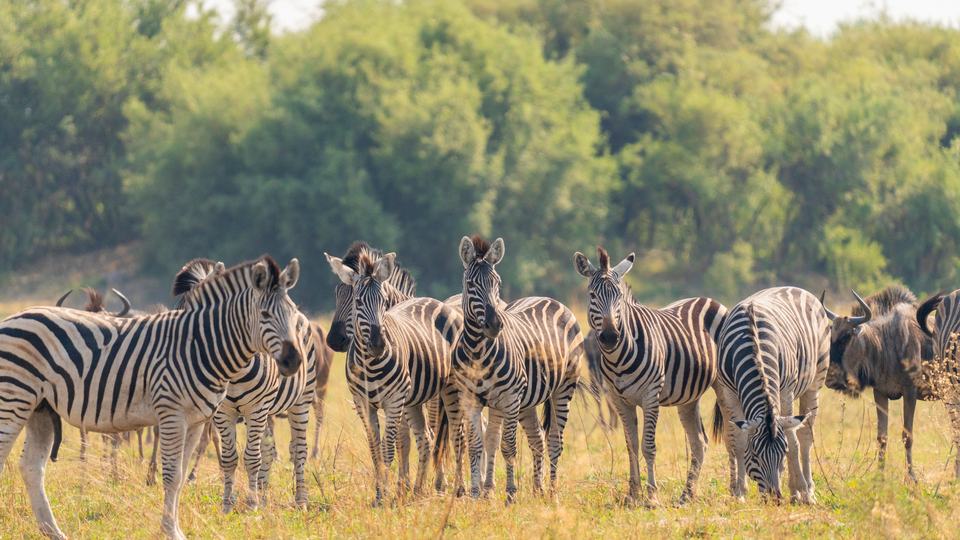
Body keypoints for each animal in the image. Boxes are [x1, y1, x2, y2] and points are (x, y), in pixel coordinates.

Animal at [0, 255, 304, 540]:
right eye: (264, 314)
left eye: (294, 314)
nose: (293, 361)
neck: (200, 346)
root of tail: (14, 316)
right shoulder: (172, 414)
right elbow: (171, 476)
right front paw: (170, 531)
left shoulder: (195, 421)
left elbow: (181, 475)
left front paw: (175, 529)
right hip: (14, 399)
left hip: (39, 408)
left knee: (32, 467)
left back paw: (53, 531)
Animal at [326, 250, 465, 504]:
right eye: (340, 296)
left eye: (382, 301)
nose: (378, 344)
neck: (369, 362)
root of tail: (438, 302)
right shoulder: (363, 403)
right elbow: (377, 449)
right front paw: (385, 492)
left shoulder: (394, 401)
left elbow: (391, 447)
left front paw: (387, 495)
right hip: (414, 400)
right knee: (426, 437)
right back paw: (419, 490)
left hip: (450, 389)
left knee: (456, 436)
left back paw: (459, 489)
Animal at [455, 235, 582, 503]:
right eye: (471, 284)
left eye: (498, 283)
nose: (495, 324)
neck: (477, 350)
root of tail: (550, 299)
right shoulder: (470, 398)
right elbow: (477, 445)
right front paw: (476, 495)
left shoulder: (510, 397)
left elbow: (508, 446)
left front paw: (511, 494)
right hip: (526, 401)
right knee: (536, 438)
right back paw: (537, 489)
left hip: (563, 388)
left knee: (555, 441)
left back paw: (552, 492)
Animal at [573, 247, 731, 504]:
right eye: (592, 295)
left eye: (619, 297)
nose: (610, 336)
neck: (619, 357)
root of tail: (709, 300)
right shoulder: (619, 400)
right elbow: (631, 445)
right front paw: (632, 494)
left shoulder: (650, 396)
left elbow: (648, 446)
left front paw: (651, 496)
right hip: (689, 398)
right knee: (700, 442)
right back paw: (687, 494)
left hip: (725, 386)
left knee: (734, 434)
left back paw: (737, 490)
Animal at [716, 286, 830, 503]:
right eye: (754, 454)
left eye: (782, 452)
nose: (775, 498)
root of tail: (796, 288)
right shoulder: (730, 392)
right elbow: (738, 440)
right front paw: (740, 493)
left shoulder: (785, 390)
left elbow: (792, 442)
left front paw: (801, 488)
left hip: (815, 381)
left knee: (804, 436)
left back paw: (806, 491)